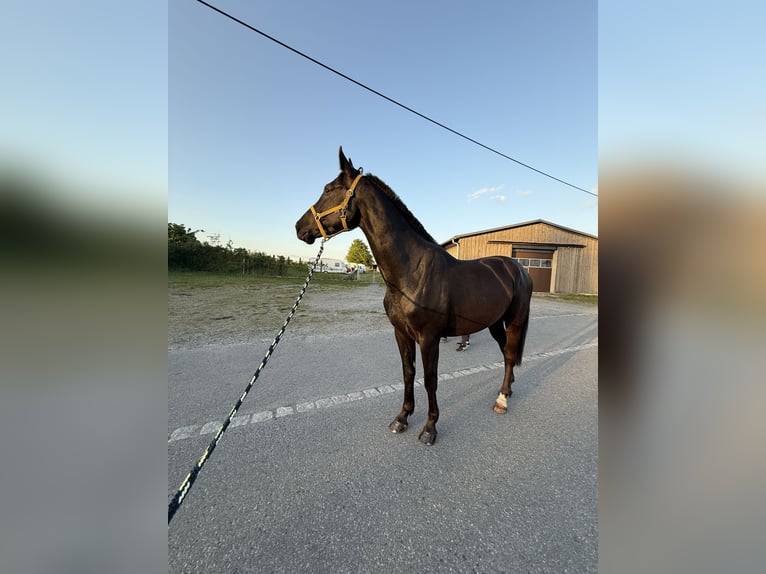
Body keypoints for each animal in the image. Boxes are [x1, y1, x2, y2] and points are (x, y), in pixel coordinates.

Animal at [295, 147, 533, 445]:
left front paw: (430, 428)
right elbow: (409, 374)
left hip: (514, 321)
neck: (412, 271)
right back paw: (507, 391)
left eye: (329, 189)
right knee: (505, 352)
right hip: (493, 323)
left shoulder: (429, 338)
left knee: (510, 354)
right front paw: (402, 418)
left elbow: (430, 379)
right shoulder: (401, 333)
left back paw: (502, 400)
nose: (299, 227)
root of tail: (518, 269)